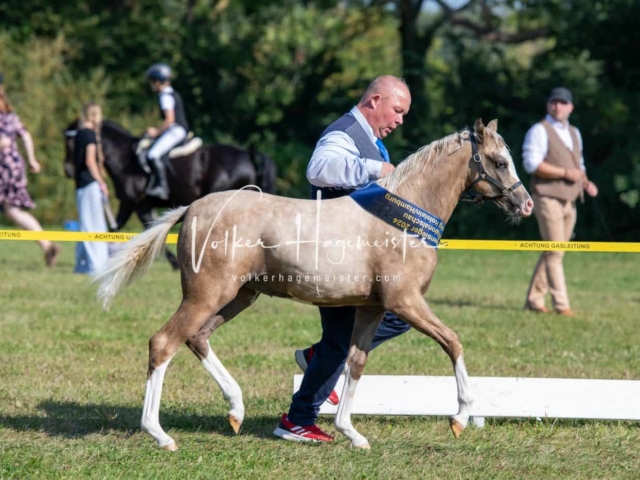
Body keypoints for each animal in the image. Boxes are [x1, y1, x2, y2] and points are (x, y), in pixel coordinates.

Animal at [62, 119, 278, 270]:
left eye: (71, 142)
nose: (68, 171)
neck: (124, 157)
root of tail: (248, 155)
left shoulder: (133, 203)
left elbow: (127, 228)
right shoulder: (139, 205)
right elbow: (133, 228)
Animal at [96, 119, 536, 450]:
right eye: (500, 162)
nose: (526, 204)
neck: (404, 218)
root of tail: (193, 207)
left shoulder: (373, 308)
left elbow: (356, 362)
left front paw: (351, 433)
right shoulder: (405, 302)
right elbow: (453, 343)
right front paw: (460, 417)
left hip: (239, 296)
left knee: (196, 338)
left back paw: (236, 410)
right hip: (208, 294)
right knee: (163, 342)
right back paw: (160, 435)